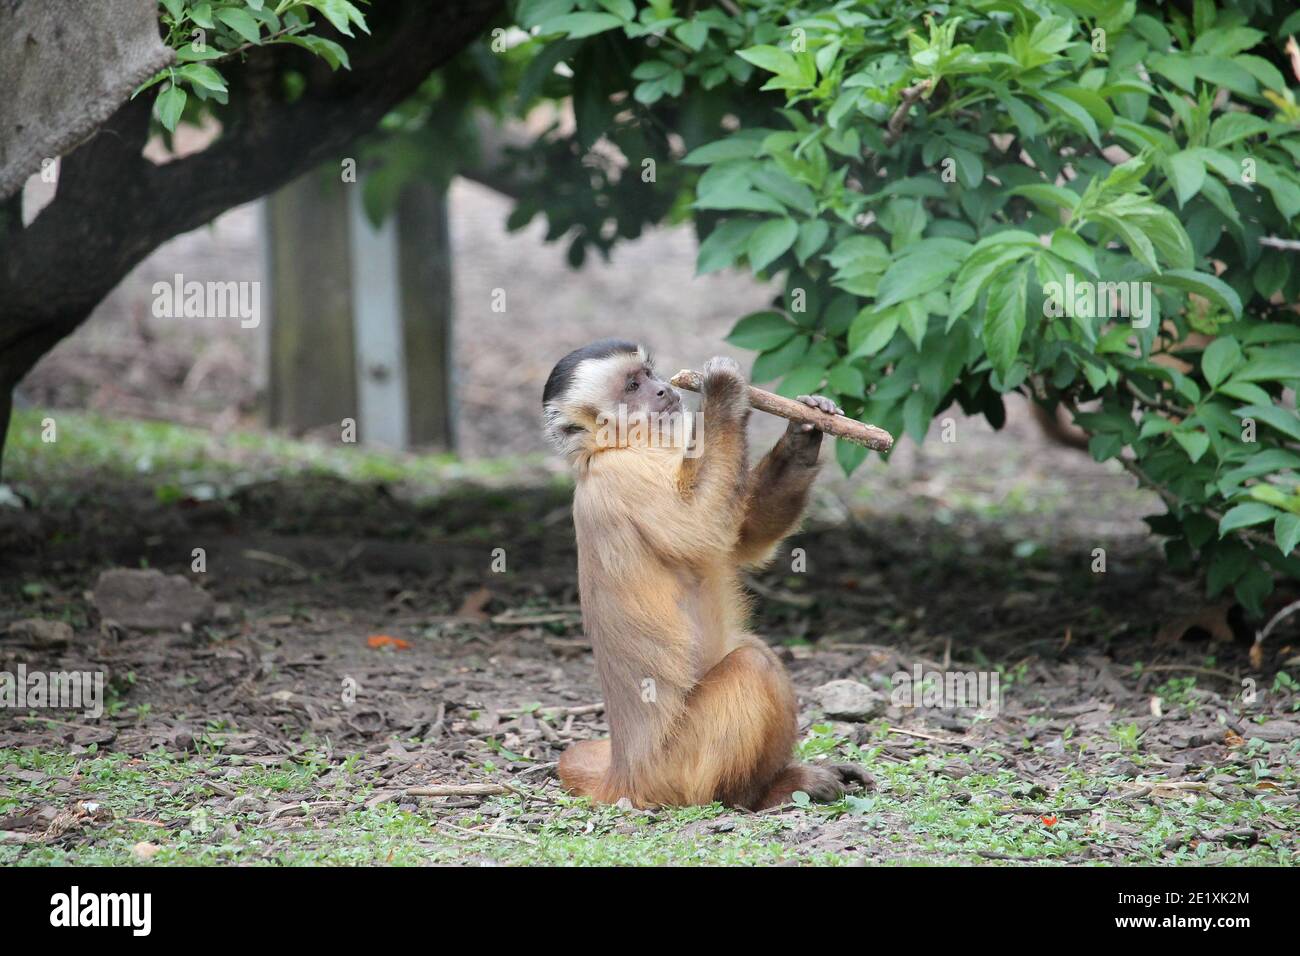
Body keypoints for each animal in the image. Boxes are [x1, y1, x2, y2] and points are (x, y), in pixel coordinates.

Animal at [543, 340, 868, 811]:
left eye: (649, 374)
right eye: (633, 386)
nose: (663, 389)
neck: (618, 448)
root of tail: (622, 772)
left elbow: (743, 536)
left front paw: (805, 431)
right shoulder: (621, 476)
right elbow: (701, 529)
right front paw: (723, 392)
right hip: (675, 769)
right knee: (753, 663)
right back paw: (757, 794)